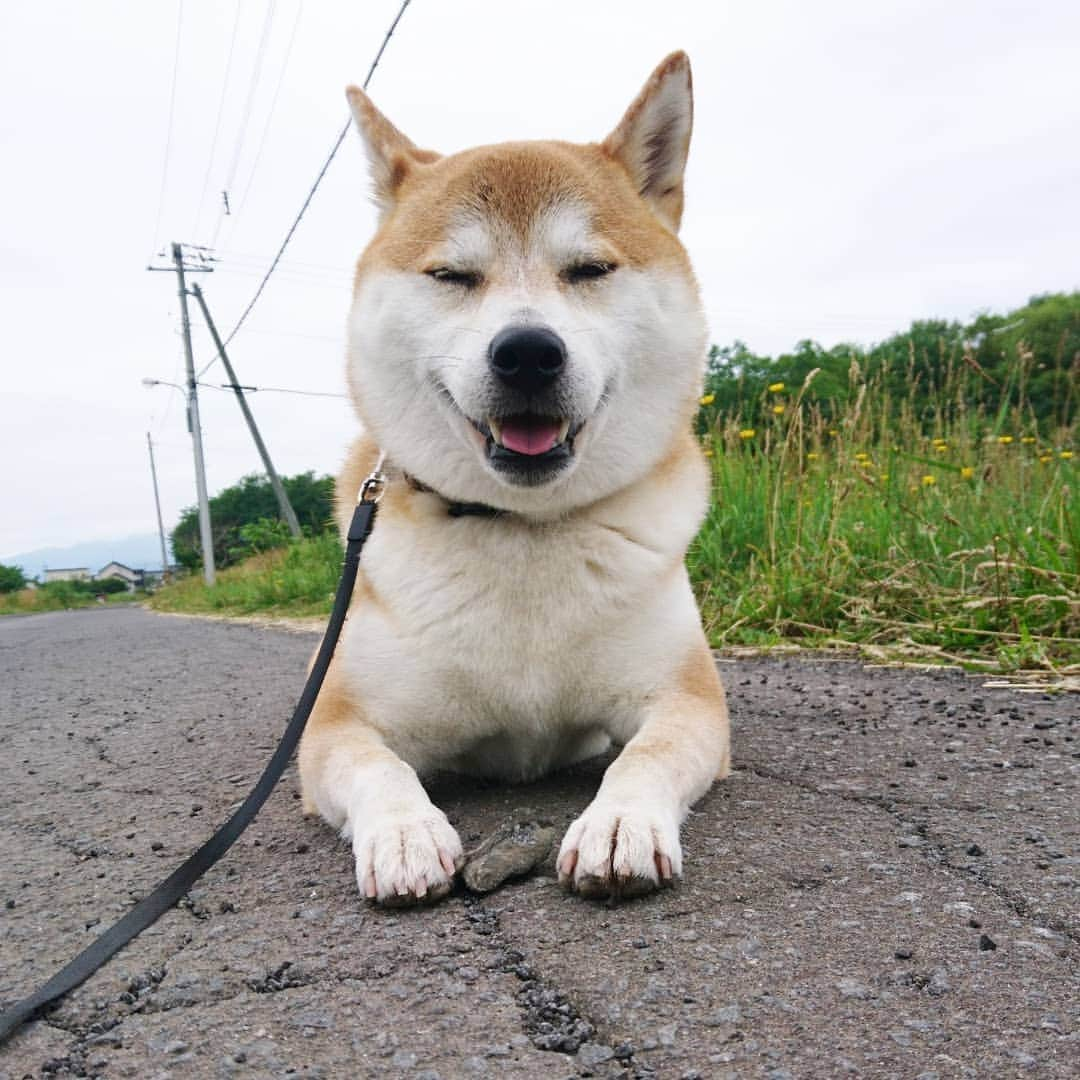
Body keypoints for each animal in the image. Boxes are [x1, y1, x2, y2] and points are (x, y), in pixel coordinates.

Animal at [300, 54, 730, 907]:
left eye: (589, 269)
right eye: (451, 275)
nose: (528, 352)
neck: (521, 530)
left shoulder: (687, 699)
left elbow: (647, 756)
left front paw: (619, 823)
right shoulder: (336, 725)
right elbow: (375, 766)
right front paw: (404, 832)